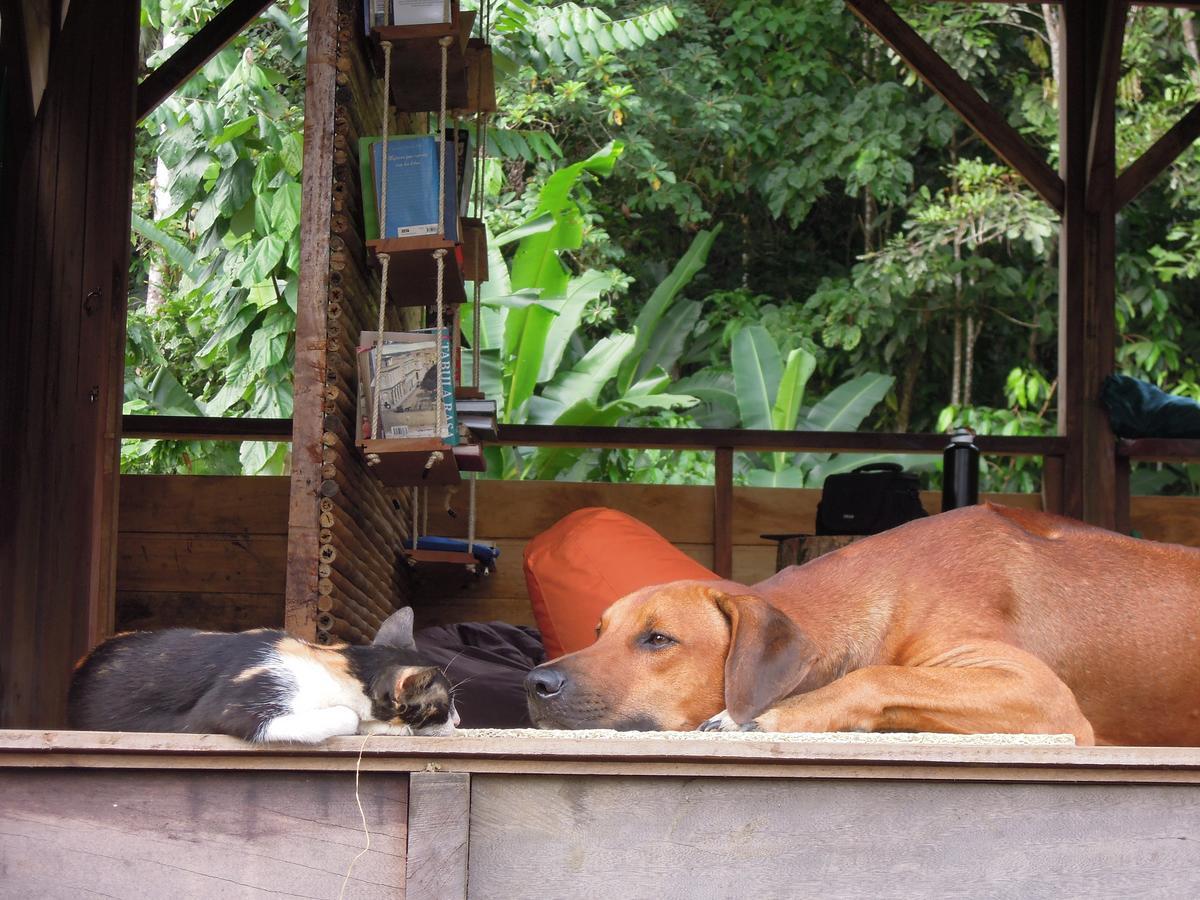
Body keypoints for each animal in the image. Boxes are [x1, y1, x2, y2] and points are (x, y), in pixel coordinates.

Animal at [523, 508, 1200, 748]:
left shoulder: (1046, 700)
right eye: (598, 631)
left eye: (658, 638)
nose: (536, 683)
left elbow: (876, 675)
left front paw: (764, 717)